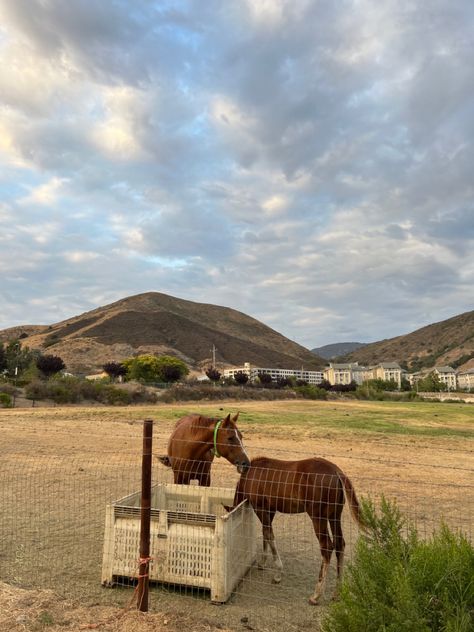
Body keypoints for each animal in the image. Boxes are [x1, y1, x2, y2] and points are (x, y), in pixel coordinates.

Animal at [228, 456, 364, 604]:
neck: (251, 474)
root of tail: (337, 472)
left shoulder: (261, 508)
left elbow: (269, 535)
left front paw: (278, 574)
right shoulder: (270, 510)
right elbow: (265, 533)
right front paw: (262, 563)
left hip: (318, 518)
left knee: (327, 547)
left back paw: (316, 595)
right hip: (335, 516)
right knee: (340, 544)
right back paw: (337, 593)